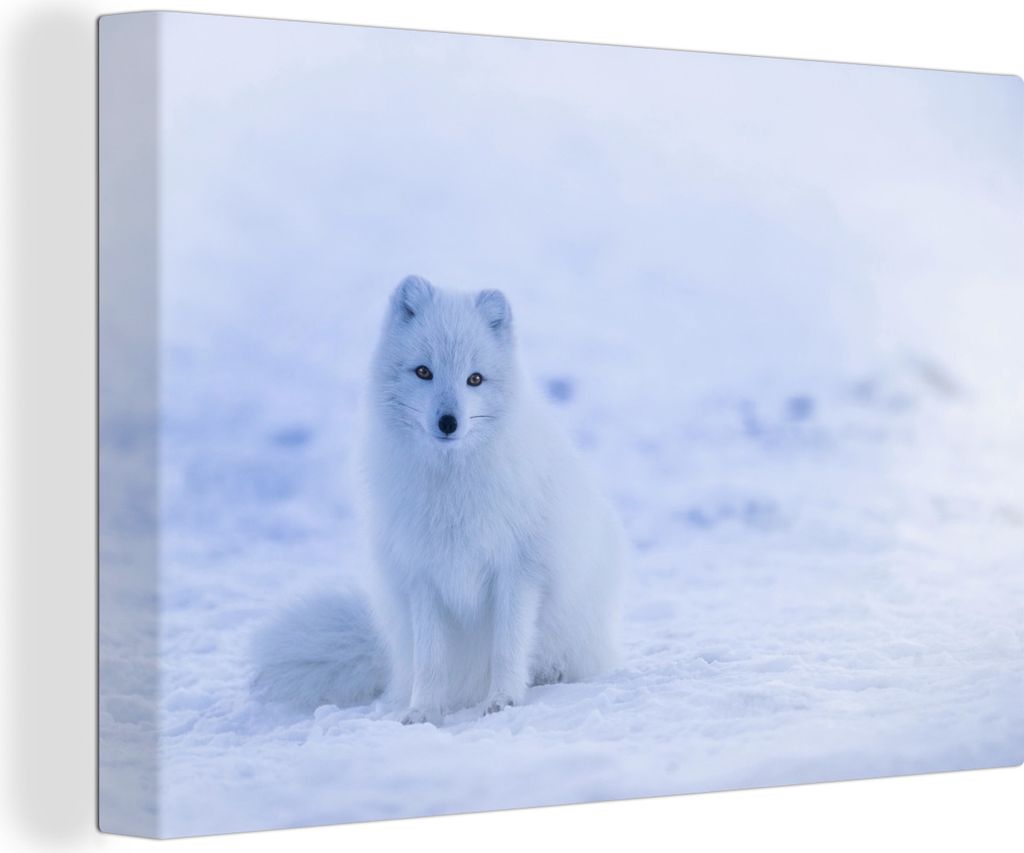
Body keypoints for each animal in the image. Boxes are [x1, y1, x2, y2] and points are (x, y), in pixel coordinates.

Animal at [251, 276, 626, 724]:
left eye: (475, 379)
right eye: (423, 372)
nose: (448, 422)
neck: (451, 489)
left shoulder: (518, 570)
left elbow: (508, 646)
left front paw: (503, 701)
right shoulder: (422, 576)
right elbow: (430, 659)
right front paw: (423, 712)